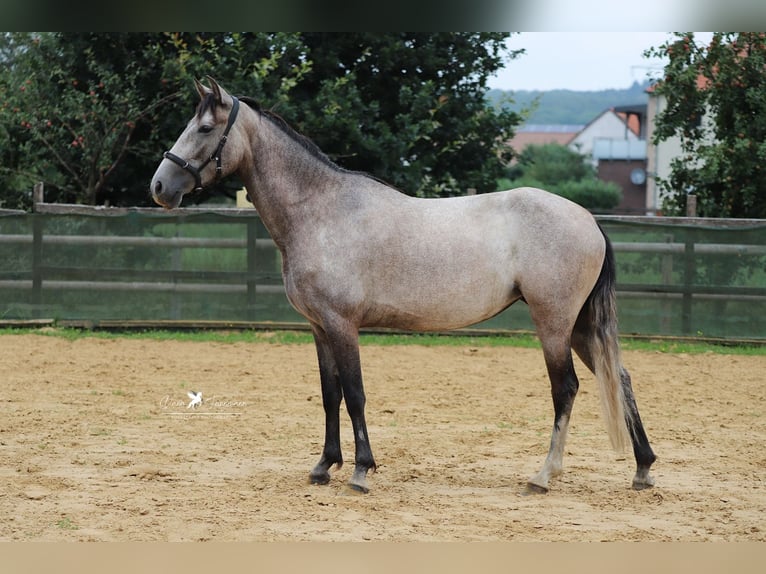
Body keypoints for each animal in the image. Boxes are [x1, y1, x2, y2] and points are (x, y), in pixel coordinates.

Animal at [152, 79, 660, 498]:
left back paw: (543, 475)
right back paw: (643, 469)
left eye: (203, 128)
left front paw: (361, 471)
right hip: (579, 325)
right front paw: (324, 466)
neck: (320, 210)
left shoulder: (342, 325)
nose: (159, 187)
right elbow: (330, 394)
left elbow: (355, 394)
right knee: (620, 378)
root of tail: (588, 219)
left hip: (554, 323)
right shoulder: (319, 328)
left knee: (566, 388)